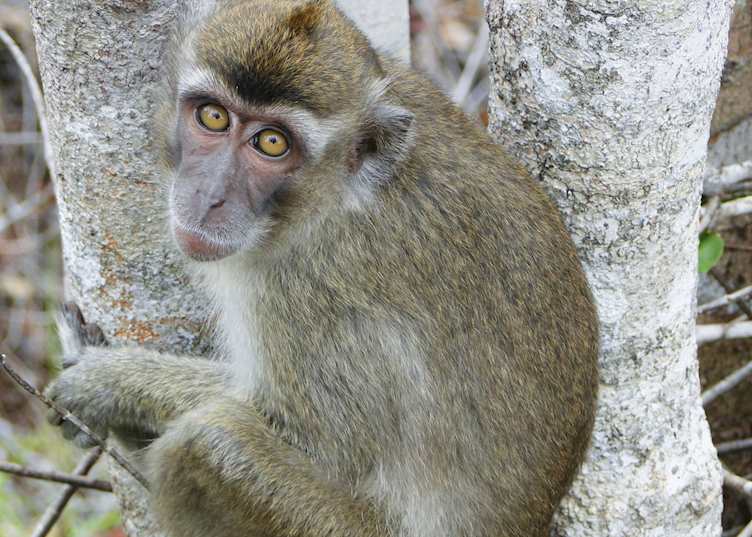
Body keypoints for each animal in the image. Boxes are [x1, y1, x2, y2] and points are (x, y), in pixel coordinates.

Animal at [46, 1, 599, 536]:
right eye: (213, 117)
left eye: (272, 143)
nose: (208, 197)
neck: (336, 196)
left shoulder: (303, 294)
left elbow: (317, 442)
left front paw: (112, 382)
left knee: (209, 442)